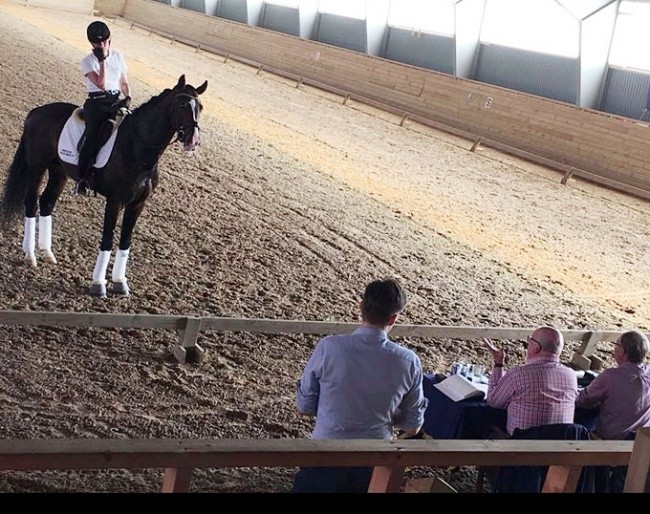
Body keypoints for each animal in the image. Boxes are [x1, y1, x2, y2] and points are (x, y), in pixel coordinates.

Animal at [0, 73, 208, 294]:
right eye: (181, 105)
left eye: (200, 107)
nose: (192, 140)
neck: (137, 147)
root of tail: (37, 111)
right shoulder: (115, 200)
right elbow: (108, 238)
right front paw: (99, 285)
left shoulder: (137, 204)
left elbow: (125, 241)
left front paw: (120, 282)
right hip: (36, 167)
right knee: (31, 203)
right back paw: (30, 257)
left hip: (59, 171)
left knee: (46, 203)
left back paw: (48, 254)